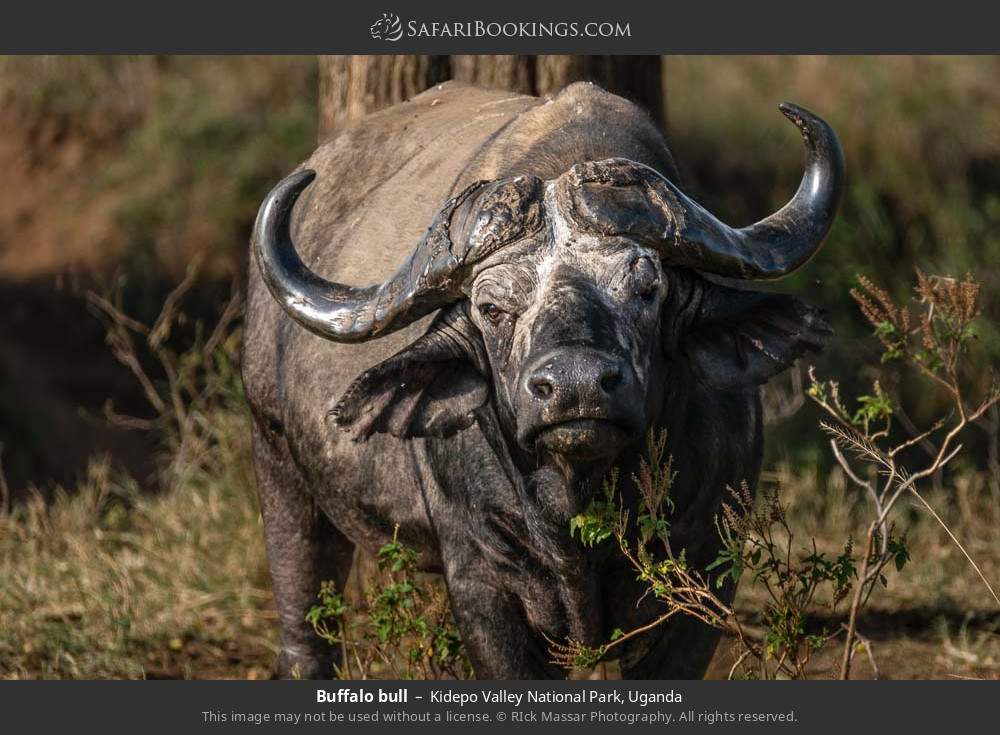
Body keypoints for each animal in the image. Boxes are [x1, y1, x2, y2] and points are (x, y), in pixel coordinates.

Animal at [244, 80, 844, 680]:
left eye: (647, 288)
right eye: (490, 307)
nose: (577, 385)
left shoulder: (707, 568)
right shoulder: (480, 578)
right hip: (278, 466)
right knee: (304, 626)